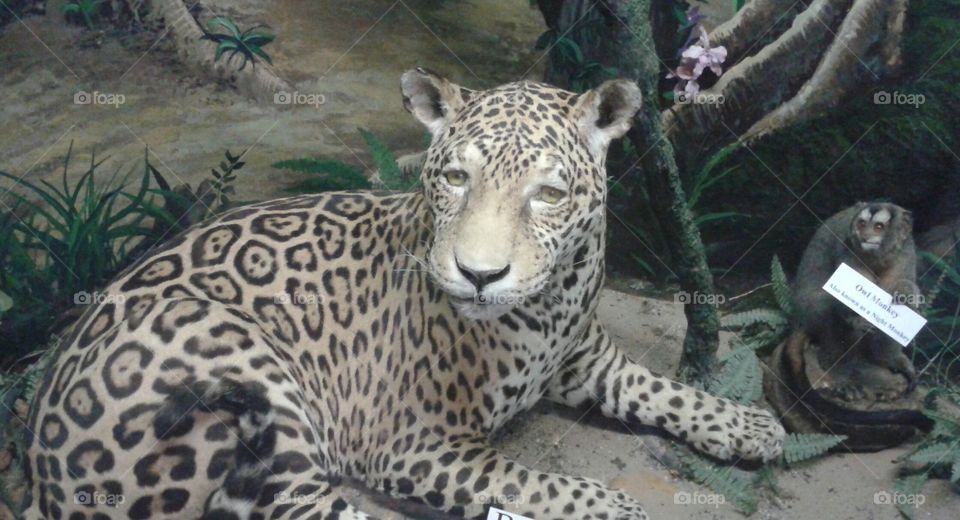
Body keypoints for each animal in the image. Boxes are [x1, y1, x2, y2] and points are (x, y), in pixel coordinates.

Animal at [23, 68, 784, 520]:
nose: (478, 275)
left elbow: (664, 389)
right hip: (234, 358)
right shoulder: (414, 442)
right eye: (453, 178)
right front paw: (612, 507)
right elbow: (532, 483)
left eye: (548, 194)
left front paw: (750, 423)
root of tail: (40, 479)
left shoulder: (587, 359)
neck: (553, 303)